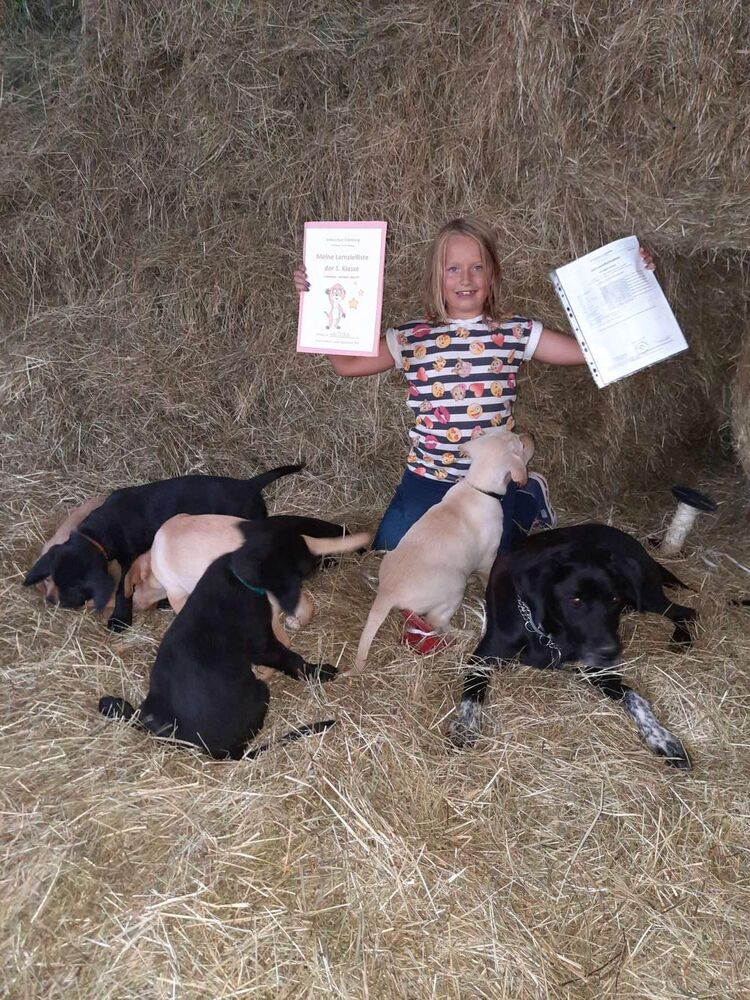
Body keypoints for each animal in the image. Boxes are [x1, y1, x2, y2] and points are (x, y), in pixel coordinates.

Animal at [23, 464, 302, 631]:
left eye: (74, 586)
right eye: (53, 579)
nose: (53, 601)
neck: (99, 532)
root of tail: (249, 485)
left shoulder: (130, 558)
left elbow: (123, 589)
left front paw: (120, 619)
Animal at [350, 429, 535, 674]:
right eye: (521, 445)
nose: (531, 436)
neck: (478, 486)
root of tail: (386, 592)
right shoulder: (488, 558)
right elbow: (488, 575)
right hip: (455, 588)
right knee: (436, 622)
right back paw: (464, 633)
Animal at [447, 523, 698, 769]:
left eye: (614, 599)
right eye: (575, 601)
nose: (611, 652)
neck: (546, 632)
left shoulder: (599, 670)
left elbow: (635, 697)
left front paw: (663, 738)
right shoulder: (483, 656)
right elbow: (472, 691)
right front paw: (465, 725)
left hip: (646, 597)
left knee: (687, 611)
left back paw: (682, 639)